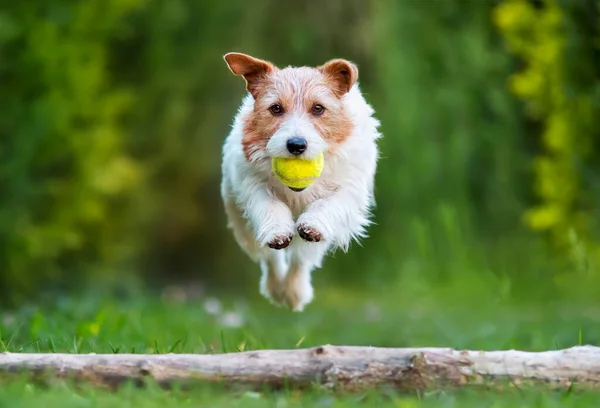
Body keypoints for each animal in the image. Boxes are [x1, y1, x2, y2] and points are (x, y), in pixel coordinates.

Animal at [219, 52, 380, 310]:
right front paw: (277, 231)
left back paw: (293, 291)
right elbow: (269, 205)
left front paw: (312, 223)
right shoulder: (251, 182)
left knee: (300, 259)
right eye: (275, 108)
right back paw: (278, 288)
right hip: (242, 226)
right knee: (270, 257)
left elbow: (329, 202)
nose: (296, 144)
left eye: (318, 108)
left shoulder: (350, 187)